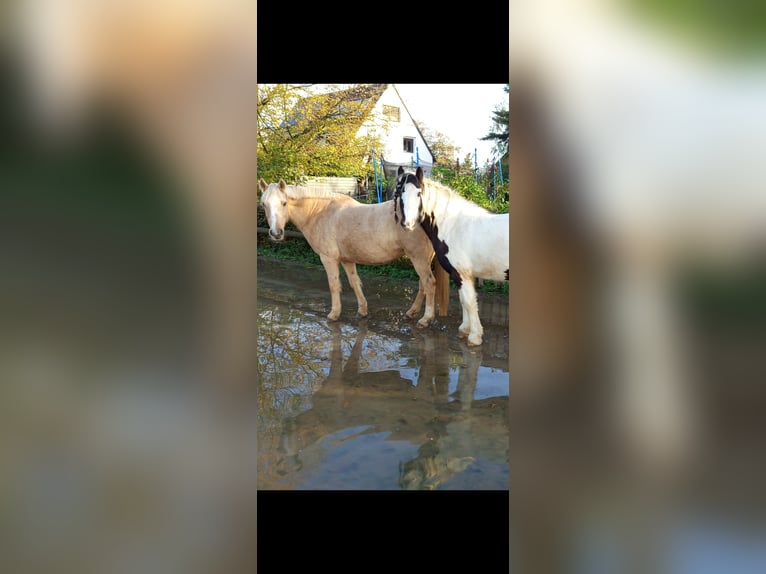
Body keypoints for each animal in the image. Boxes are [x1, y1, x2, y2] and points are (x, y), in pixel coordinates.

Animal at [260, 178, 436, 326]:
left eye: (284, 203)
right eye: (264, 205)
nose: (276, 234)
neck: (320, 212)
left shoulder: (328, 258)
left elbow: (333, 285)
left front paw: (334, 314)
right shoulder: (347, 259)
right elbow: (354, 283)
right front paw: (362, 311)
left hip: (418, 258)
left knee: (429, 283)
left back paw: (425, 319)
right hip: (422, 259)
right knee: (423, 284)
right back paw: (412, 313)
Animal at [396, 164, 510, 348]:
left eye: (419, 193)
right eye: (399, 193)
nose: (407, 224)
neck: (454, 225)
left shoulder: (462, 274)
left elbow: (469, 302)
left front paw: (474, 337)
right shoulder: (460, 275)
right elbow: (464, 301)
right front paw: (464, 330)